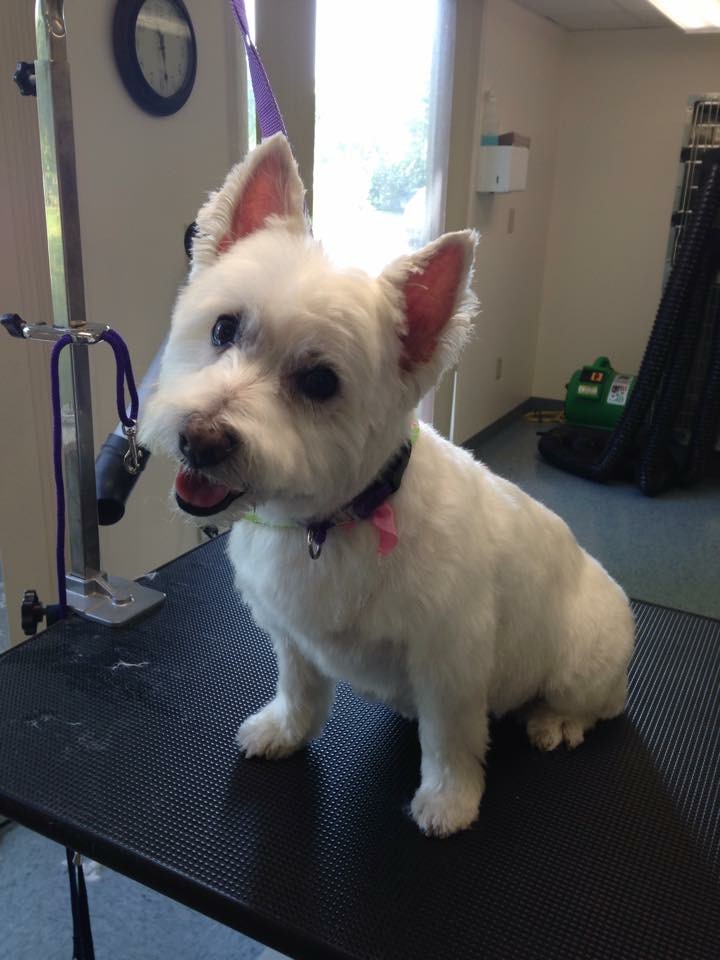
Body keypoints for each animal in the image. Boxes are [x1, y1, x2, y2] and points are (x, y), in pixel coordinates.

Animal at [141, 133, 635, 838]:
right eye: (223, 329)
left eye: (320, 381)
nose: (201, 439)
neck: (337, 522)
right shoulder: (291, 634)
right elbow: (299, 686)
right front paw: (285, 730)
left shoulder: (451, 662)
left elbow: (450, 738)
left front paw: (449, 801)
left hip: (584, 658)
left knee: (598, 704)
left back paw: (557, 721)